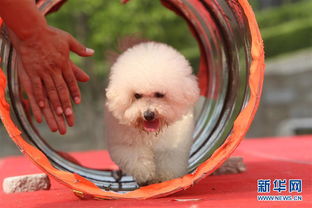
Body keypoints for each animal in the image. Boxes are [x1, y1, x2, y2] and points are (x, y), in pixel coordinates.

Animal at [105, 40, 200, 185]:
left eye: (159, 94)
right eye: (137, 95)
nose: (148, 115)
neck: (150, 133)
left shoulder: (172, 147)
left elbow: (168, 161)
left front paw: (164, 178)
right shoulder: (124, 143)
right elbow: (136, 157)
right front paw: (145, 173)